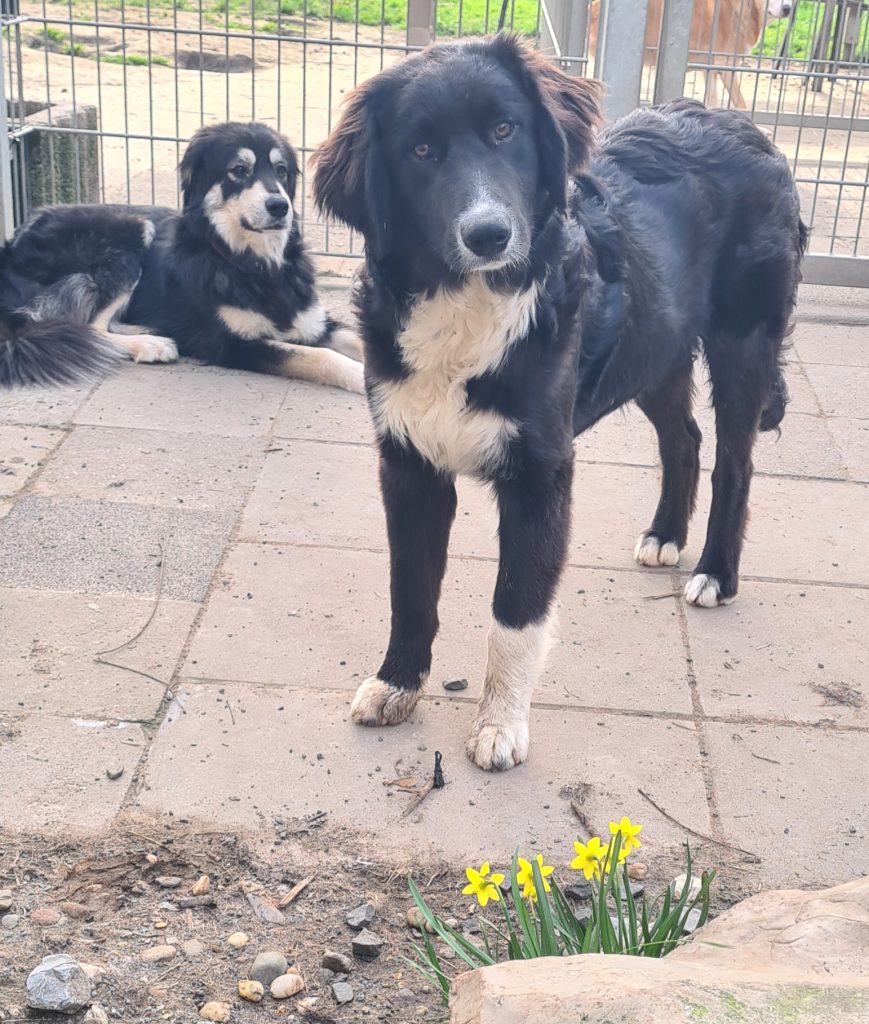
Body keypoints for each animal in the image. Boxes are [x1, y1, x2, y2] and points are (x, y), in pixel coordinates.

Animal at [0, 122, 364, 393]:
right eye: (238, 170)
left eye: (281, 169)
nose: (279, 206)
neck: (250, 262)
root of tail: (11, 246)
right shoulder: (232, 343)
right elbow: (317, 356)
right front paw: (360, 378)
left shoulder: (314, 321)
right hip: (130, 230)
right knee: (88, 327)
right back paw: (149, 344)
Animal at [311, 34, 805, 771]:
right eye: (420, 151)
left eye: (504, 130)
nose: (488, 234)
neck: (467, 306)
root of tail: (742, 125)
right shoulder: (409, 465)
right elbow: (410, 588)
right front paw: (398, 682)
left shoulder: (540, 473)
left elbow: (514, 609)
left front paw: (499, 726)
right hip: (652, 346)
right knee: (683, 440)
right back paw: (665, 535)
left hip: (741, 345)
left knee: (733, 465)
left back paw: (715, 573)